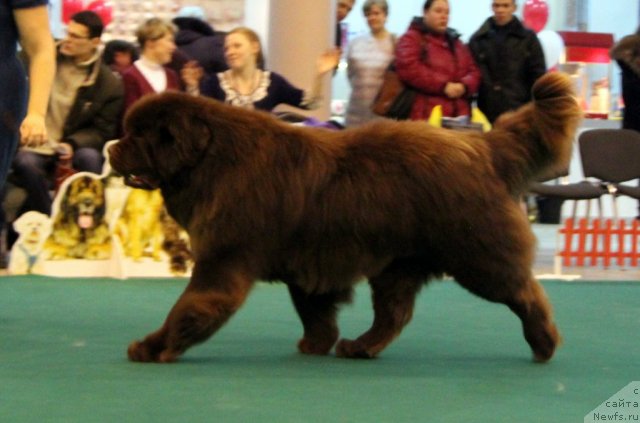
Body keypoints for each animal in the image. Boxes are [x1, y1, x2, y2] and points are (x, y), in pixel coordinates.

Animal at [109, 73, 580, 364]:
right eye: (128, 132)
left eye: (139, 136)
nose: (112, 147)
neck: (213, 160)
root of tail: (483, 148)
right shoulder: (307, 266)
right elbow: (314, 310)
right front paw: (316, 344)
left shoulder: (222, 261)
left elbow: (189, 307)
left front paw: (153, 347)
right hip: (397, 266)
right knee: (394, 314)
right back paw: (361, 347)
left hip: (478, 256)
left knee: (524, 293)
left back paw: (544, 343)